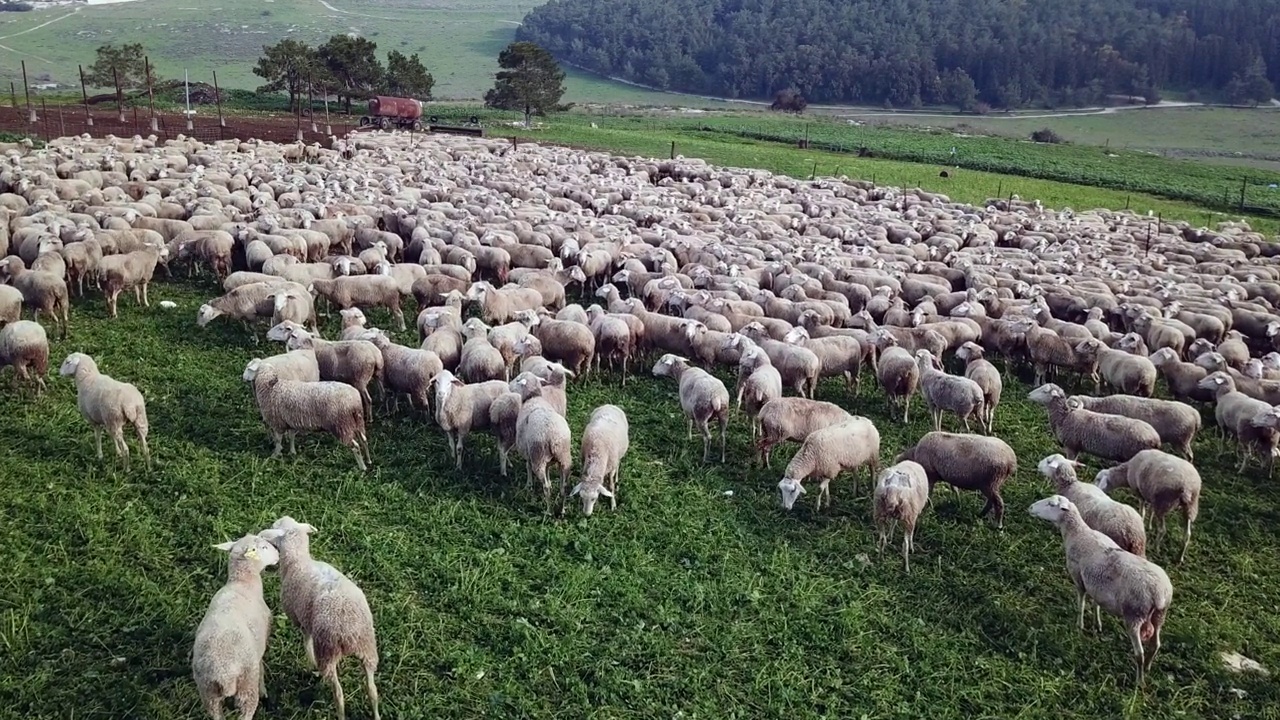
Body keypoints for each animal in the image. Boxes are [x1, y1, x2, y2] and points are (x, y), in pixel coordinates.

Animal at [240, 358, 371, 471]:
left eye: (248, 368)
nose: (243, 378)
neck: (270, 386)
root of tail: (354, 399)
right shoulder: (289, 420)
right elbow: (291, 436)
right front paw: (292, 452)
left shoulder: (277, 422)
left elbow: (278, 440)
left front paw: (275, 454)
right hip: (357, 420)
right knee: (364, 440)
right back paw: (368, 460)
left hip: (342, 425)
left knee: (355, 446)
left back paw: (362, 467)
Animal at [257, 515, 378, 717]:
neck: (298, 561)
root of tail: (349, 633)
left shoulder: (301, 619)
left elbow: (306, 641)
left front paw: (310, 663)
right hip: (368, 648)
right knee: (372, 690)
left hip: (328, 652)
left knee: (338, 693)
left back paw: (339, 712)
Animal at [1029, 491, 1172, 681]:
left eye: (1051, 504)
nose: (1030, 507)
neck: (1078, 533)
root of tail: (1159, 594)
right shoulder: (1096, 584)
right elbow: (1096, 604)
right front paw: (1097, 625)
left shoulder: (1078, 578)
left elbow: (1081, 603)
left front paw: (1079, 626)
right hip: (1159, 616)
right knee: (1155, 645)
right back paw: (1148, 668)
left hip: (1134, 616)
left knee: (1139, 653)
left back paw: (1139, 680)